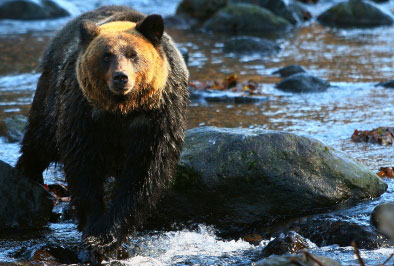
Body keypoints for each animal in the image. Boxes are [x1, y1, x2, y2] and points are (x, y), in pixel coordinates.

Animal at [18, 5, 189, 262]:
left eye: (133, 54)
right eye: (106, 55)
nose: (121, 77)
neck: (121, 111)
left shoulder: (157, 121)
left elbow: (144, 176)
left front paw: (105, 239)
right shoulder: (85, 117)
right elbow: (84, 169)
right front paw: (93, 231)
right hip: (51, 99)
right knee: (39, 139)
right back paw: (27, 176)